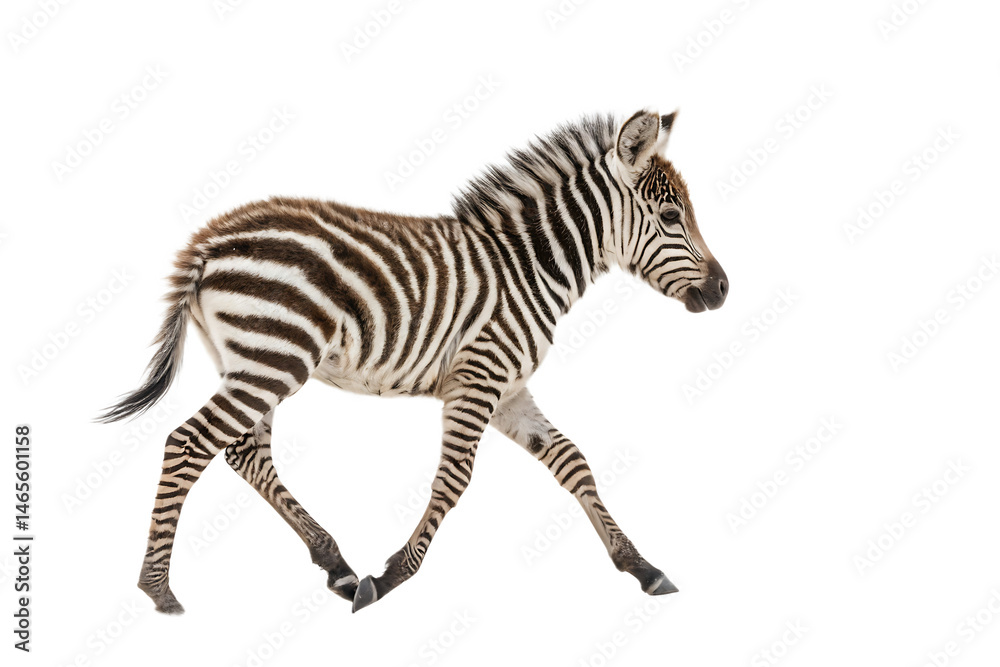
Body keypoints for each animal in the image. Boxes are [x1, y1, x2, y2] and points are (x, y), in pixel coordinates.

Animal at [100, 108, 728, 614]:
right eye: (672, 218)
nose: (723, 290)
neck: (530, 266)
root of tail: (208, 242)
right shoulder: (479, 376)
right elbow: (455, 478)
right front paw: (392, 577)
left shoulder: (508, 388)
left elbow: (574, 463)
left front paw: (642, 567)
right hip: (274, 358)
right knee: (188, 443)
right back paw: (159, 589)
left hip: (255, 360)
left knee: (243, 454)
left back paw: (335, 564)